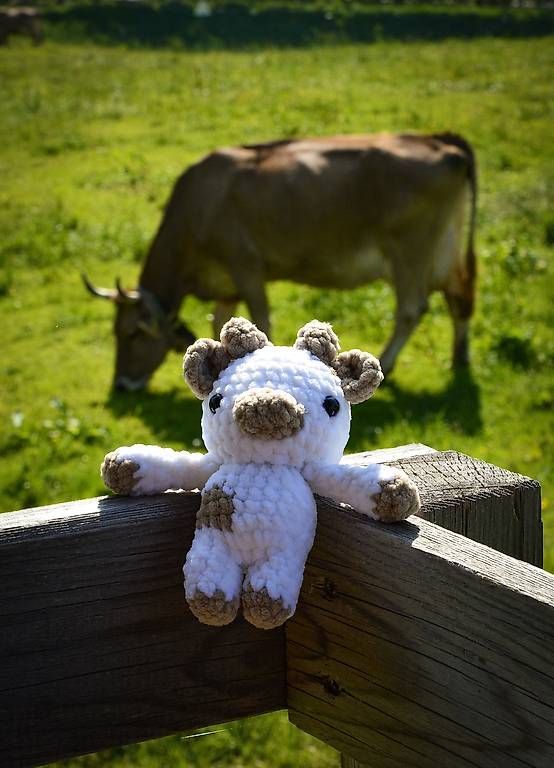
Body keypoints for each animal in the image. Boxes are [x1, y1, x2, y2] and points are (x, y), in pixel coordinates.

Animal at [84, 132, 477, 391]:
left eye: (133, 333)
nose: (120, 385)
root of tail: (442, 142)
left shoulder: (247, 268)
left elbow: (261, 320)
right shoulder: (226, 285)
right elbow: (221, 323)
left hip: (410, 251)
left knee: (411, 309)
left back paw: (389, 363)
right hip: (445, 253)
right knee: (460, 299)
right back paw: (459, 358)